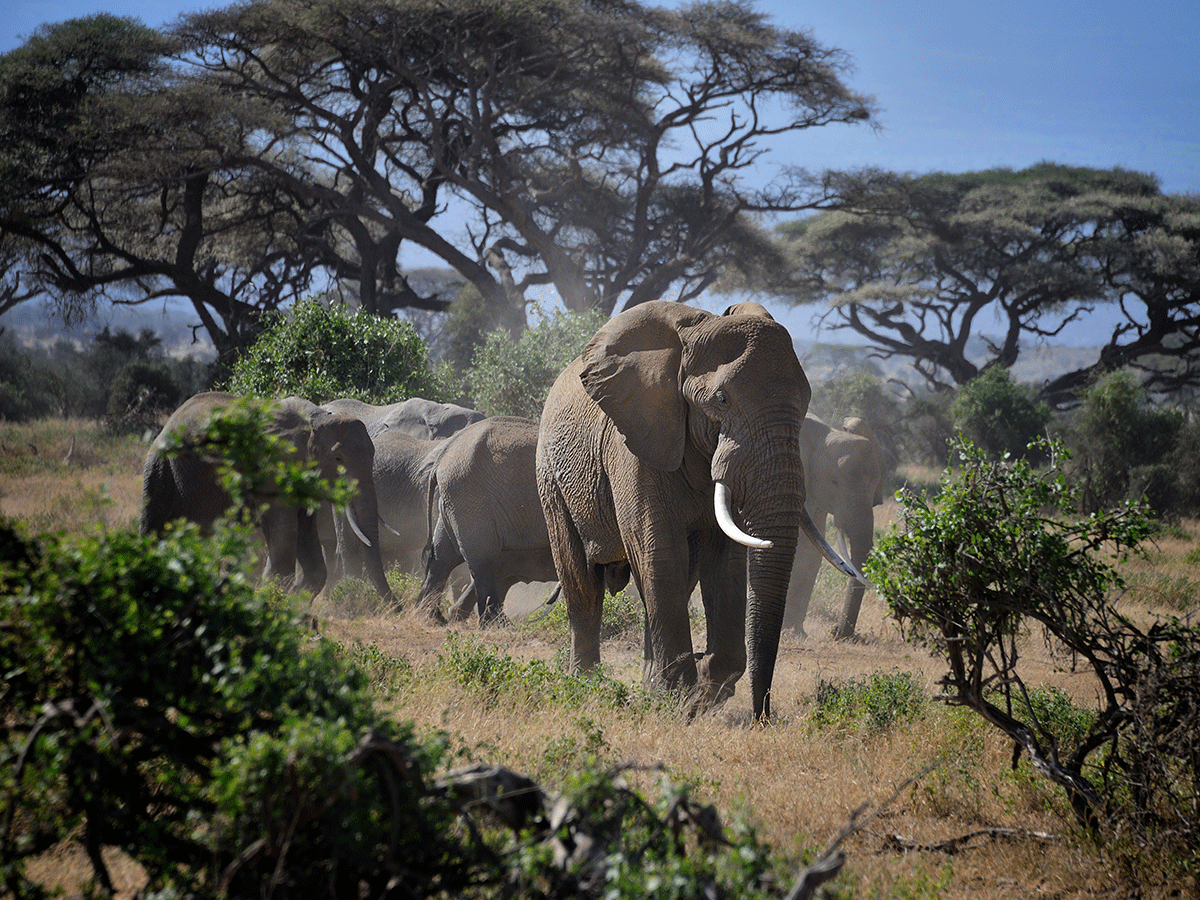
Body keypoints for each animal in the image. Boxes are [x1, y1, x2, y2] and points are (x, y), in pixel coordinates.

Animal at [139, 393, 393, 609]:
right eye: (338, 459)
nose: (397, 608)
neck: (316, 419)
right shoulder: (274, 470)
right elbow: (284, 540)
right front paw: (273, 601)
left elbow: (308, 546)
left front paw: (293, 601)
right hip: (161, 467)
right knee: (154, 528)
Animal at [415, 417, 559, 624]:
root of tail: (442, 458)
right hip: (470, 498)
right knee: (480, 559)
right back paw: (496, 624)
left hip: (453, 501)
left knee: (442, 556)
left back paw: (430, 618)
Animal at [537, 301, 864, 720]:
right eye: (722, 400)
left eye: (806, 402)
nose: (762, 716)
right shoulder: (636, 443)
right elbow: (660, 551)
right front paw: (683, 696)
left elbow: (724, 561)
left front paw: (698, 695)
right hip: (551, 475)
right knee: (582, 581)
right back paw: (586, 685)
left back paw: (651, 688)